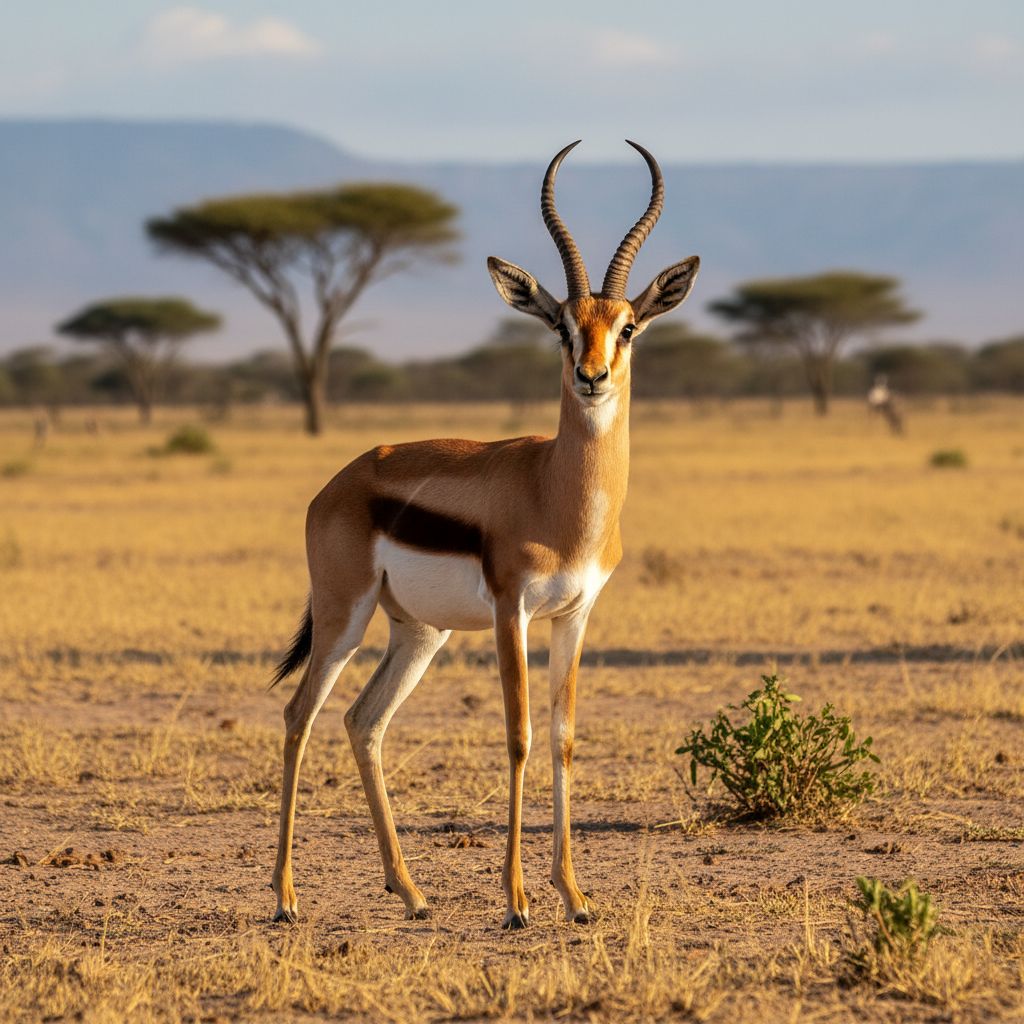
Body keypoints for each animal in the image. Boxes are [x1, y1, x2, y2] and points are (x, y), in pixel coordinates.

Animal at [270, 141, 700, 929]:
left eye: (627, 326)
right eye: (561, 324)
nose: (591, 377)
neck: (557, 492)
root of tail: (340, 482)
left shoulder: (576, 614)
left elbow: (562, 739)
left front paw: (575, 896)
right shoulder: (511, 611)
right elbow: (519, 737)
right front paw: (517, 900)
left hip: (419, 632)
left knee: (362, 721)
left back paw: (410, 892)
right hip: (345, 617)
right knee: (299, 714)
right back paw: (284, 898)